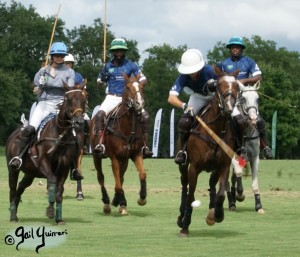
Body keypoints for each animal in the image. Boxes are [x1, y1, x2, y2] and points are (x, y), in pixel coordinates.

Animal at [5, 82, 87, 222]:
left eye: (84, 100)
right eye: (69, 100)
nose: (79, 122)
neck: (59, 135)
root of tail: (14, 133)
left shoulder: (64, 168)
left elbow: (59, 191)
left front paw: (58, 218)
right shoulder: (43, 163)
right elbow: (52, 182)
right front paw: (50, 210)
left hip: (30, 173)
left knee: (20, 187)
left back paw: (14, 210)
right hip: (13, 169)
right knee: (12, 189)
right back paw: (12, 216)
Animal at [90, 73, 148, 214]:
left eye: (141, 87)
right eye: (127, 87)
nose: (139, 103)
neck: (128, 128)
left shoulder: (135, 154)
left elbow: (142, 174)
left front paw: (142, 198)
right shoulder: (114, 157)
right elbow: (117, 184)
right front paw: (118, 201)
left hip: (124, 159)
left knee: (121, 177)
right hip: (96, 156)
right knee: (101, 177)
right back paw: (107, 202)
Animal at [178, 66, 239, 236]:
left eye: (237, 86)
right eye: (219, 85)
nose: (229, 108)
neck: (214, 130)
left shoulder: (224, 166)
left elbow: (221, 194)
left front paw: (218, 214)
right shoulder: (194, 168)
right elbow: (191, 196)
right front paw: (185, 226)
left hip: (214, 168)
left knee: (212, 183)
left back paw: (212, 211)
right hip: (184, 165)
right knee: (184, 185)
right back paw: (180, 216)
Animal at [226, 81, 264, 212]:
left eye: (257, 99)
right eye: (243, 98)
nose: (253, 119)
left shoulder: (255, 158)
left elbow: (255, 184)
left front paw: (259, 205)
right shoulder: (231, 156)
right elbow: (238, 171)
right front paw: (240, 195)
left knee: (232, 179)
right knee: (226, 181)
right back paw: (232, 202)